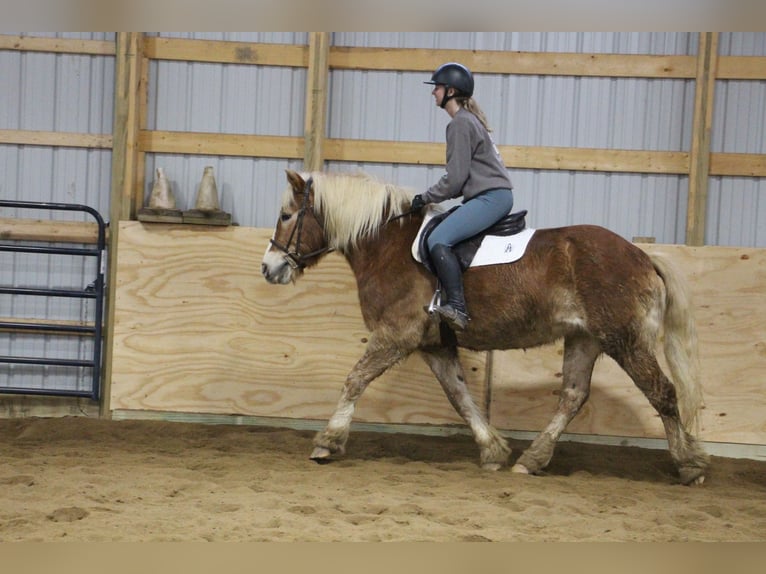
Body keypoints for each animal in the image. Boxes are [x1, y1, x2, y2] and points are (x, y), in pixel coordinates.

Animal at [260, 170, 712, 486]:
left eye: (285, 216)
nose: (269, 268)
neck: (388, 246)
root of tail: (641, 255)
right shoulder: (434, 345)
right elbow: (460, 396)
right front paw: (493, 450)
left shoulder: (396, 335)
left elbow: (355, 380)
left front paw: (328, 441)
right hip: (584, 338)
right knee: (572, 395)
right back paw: (533, 460)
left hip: (624, 340)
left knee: (662, 393)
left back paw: (689, 465)